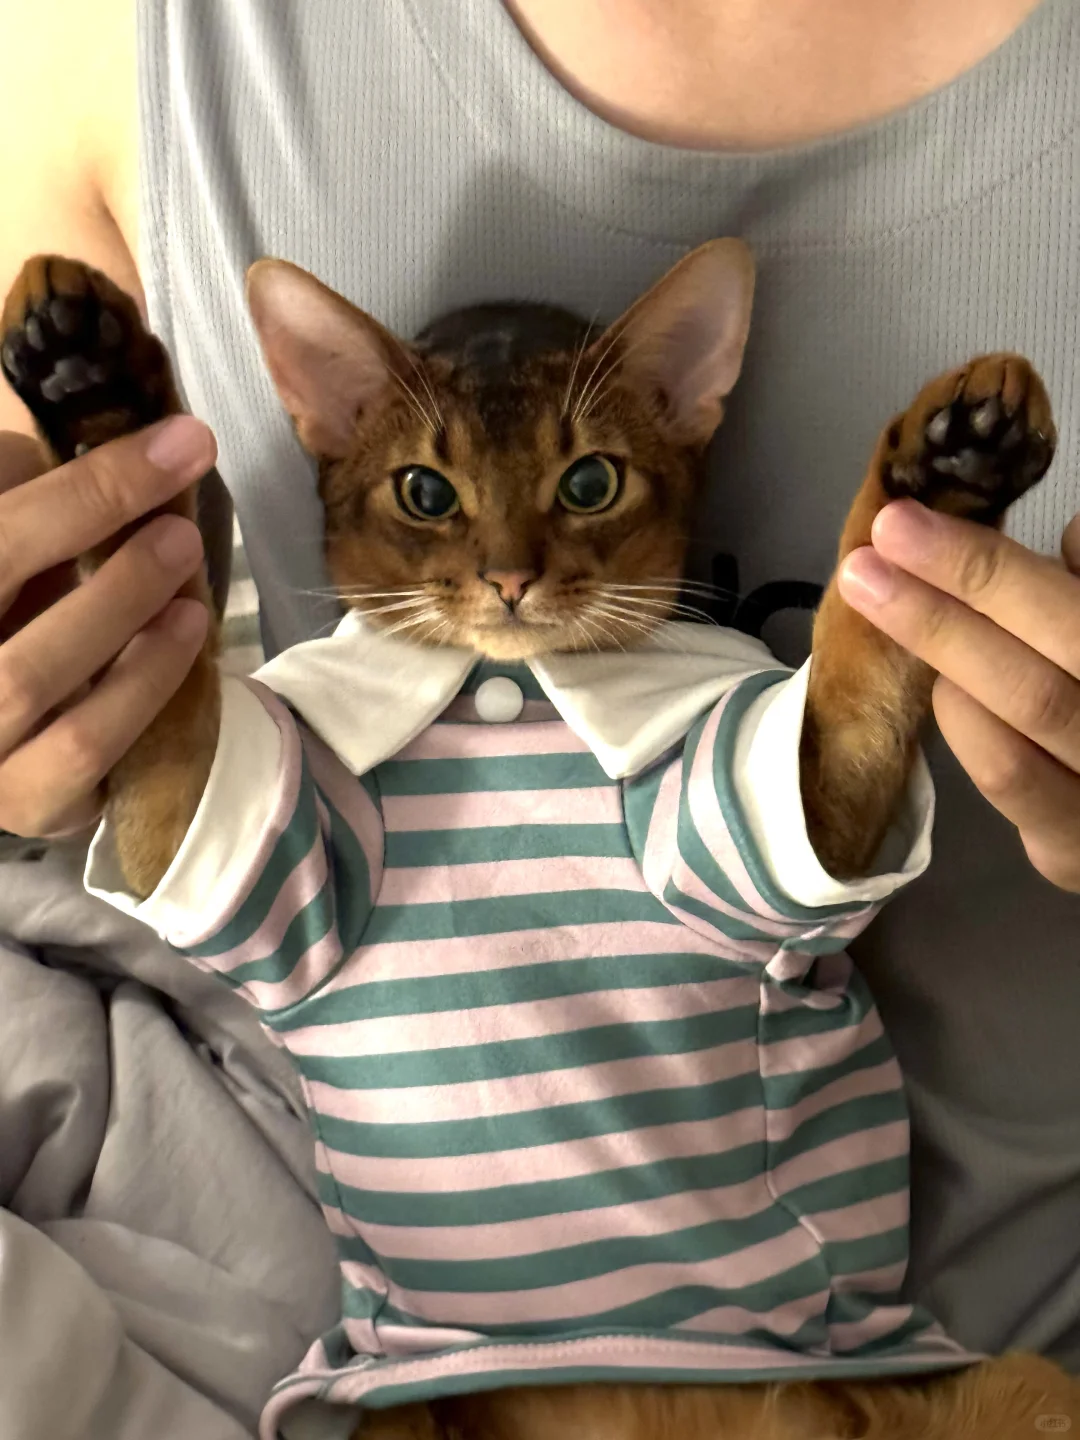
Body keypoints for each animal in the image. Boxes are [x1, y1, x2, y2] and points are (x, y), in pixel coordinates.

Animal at [2, 246, 1076, 1440]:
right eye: (426, 492)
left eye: (590, 482)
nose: (510, 580)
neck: (508, 691)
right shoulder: (242, 871)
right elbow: (160, 672)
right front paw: (92, 388)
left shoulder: (790, 825)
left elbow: (863, 654)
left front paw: (946, 473)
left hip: (1024, 1384)